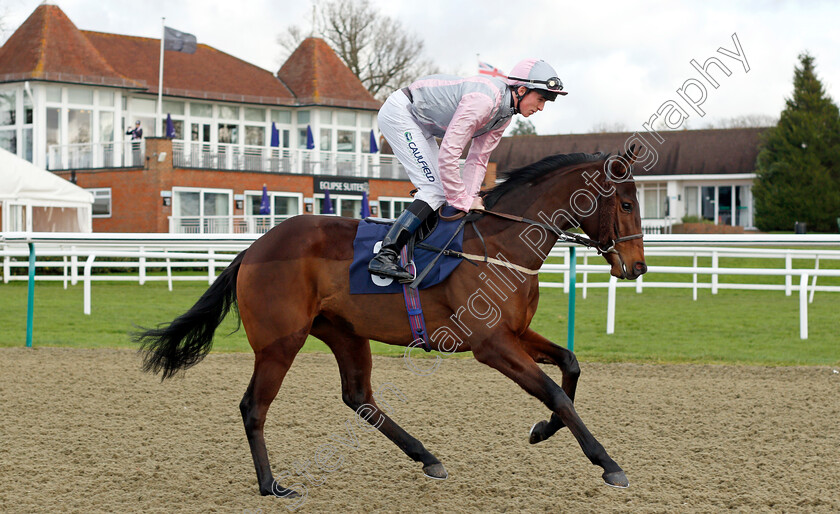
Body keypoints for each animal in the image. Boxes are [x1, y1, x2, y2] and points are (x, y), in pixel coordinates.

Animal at [136, 147, 648, 492]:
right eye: (626, 204)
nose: (638, 267)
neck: (502, 246)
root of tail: (254, 248)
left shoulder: (516, 333)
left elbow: (570, 364)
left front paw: (543, 430)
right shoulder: (491, 345)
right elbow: (555, 392)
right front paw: (607, 463)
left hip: (344, 333)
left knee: (359, 398)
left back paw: (427, 457)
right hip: (280, 341)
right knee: (254, 407)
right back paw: (271, 485)